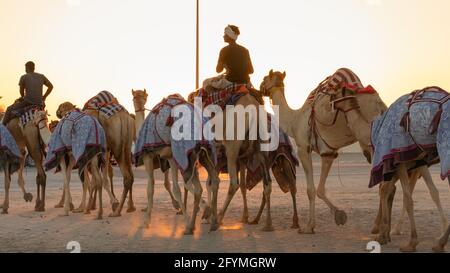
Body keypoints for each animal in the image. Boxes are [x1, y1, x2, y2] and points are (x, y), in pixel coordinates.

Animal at [258, 68, 384, 232]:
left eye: (265, 78)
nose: (259, 88)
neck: (294, 120)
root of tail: (379, 104)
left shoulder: (303, 148)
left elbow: (311, 190)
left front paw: (308, 226)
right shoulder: (328, 153)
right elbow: (320, 189)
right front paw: (339, 215)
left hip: (370, 139)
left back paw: (379, 227)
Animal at [330, 85, 450, 251]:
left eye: (336, 92)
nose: (331, 102)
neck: (372, 130)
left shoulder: (396, 159)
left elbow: (402, 196)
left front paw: (408, 241)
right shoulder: (417, 162)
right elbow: (429, 192)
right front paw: (385, 233)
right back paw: (440, 242)